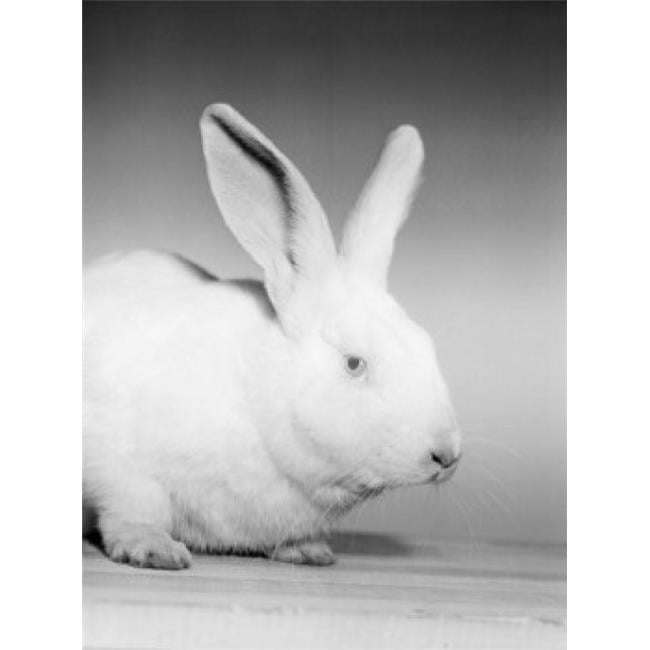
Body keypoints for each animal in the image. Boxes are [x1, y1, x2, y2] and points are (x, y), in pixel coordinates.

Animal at [82, 104, 462, 570]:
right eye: (354, 363)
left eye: (427, 346)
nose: (447, 454)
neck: (255, 396)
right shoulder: (122, 467)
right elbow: (132, 510)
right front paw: (155, 549)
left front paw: (308, 551)